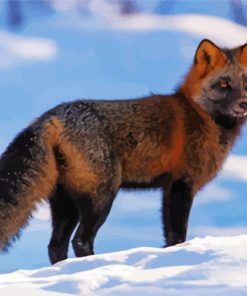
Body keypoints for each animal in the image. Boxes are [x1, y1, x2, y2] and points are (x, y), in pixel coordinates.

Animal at [0, 38, 247, 264]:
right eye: (223, 85)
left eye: (245, 83)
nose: (244, 104)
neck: (200, 114)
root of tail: (51, 116)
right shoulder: (181, 185)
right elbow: (178, 236)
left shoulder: (167, 188)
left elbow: (169, 237)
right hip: (102, 196)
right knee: (80, 241)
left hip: (66, 203)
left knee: (56, 246)